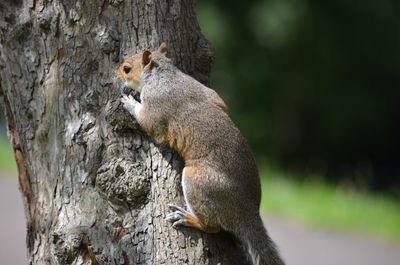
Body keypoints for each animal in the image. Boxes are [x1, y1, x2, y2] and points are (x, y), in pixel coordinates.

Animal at [115, 42, 284, 262]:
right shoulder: (207, 92)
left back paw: (187, 217)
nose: (115, 72)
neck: (162, 76)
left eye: (127, 68)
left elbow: (149, 124)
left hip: (198, 182)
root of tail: (248, 212)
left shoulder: (155, 106)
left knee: (212, 226)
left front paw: (129, 102)